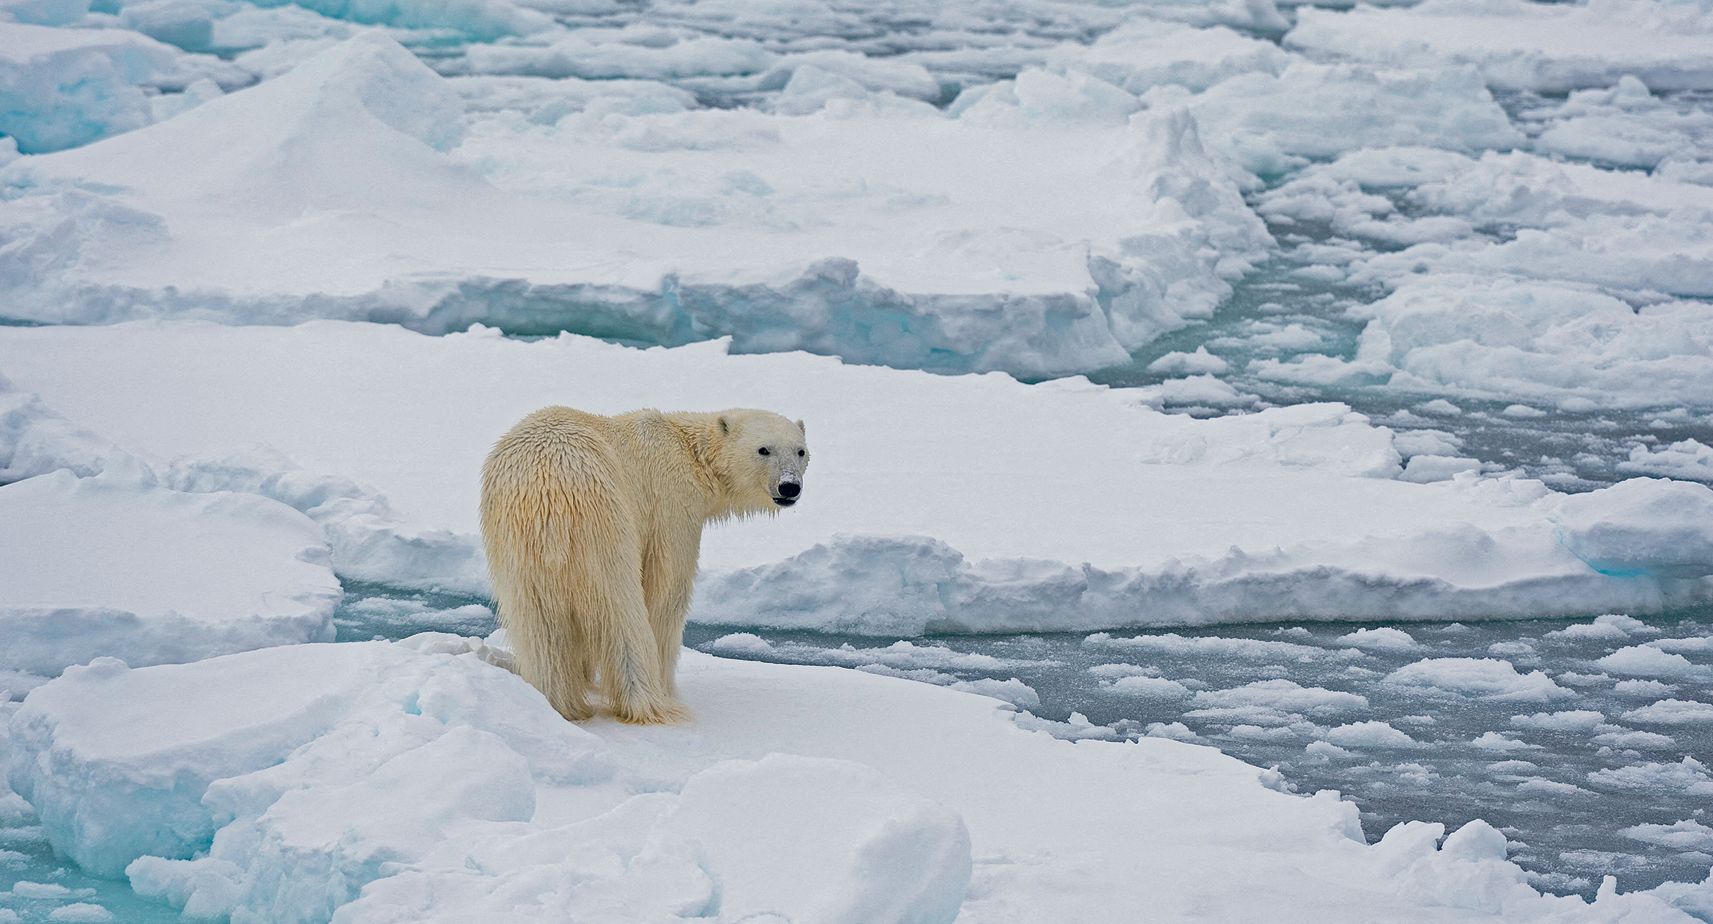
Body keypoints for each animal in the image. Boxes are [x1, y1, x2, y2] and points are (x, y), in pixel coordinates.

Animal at [479, 408, 805, 726]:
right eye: (763, 449)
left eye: (801, 451)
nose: (790, 487)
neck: (690, 451)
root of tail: (548, 490)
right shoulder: (671, 503)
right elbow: (667, 591)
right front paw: (668, 687)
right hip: (606, 520)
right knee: (622, 607)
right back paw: (646, 702)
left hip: (516, 546)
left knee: (539, 625)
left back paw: (560, 703)